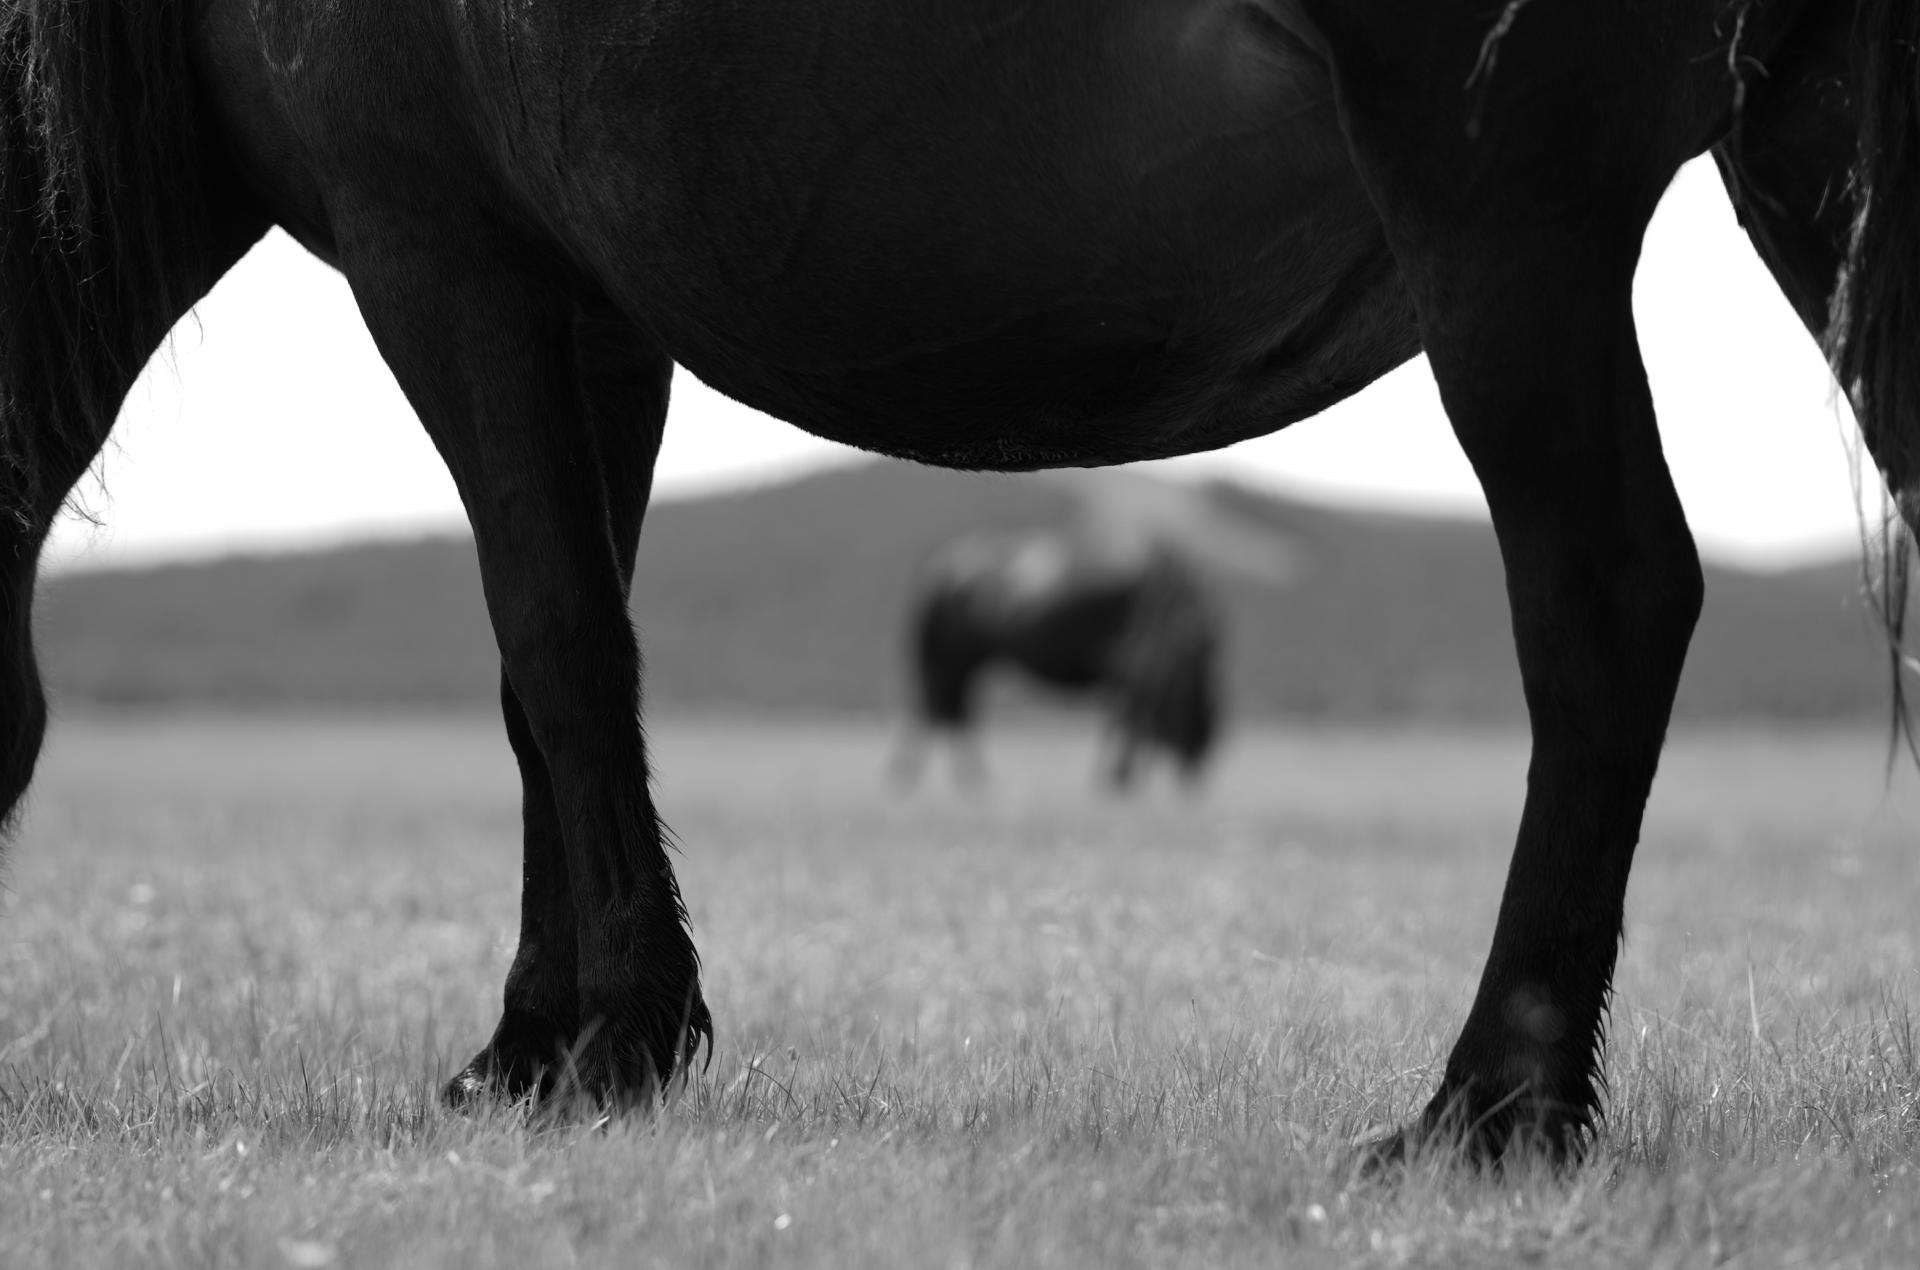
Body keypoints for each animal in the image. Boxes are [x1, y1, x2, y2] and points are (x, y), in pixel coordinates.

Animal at [894, 531, 1221, 789]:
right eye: (1198, 704)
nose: (1200, 753)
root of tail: (937, 570)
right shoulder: (1132, 661)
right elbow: (1129, 713)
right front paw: (1118, 776)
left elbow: (1127, 713)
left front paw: (1117, 775)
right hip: (947, 661)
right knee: (940, 708)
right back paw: (926, 774)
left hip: (961, 663)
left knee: (948, 708)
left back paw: (956, 776)